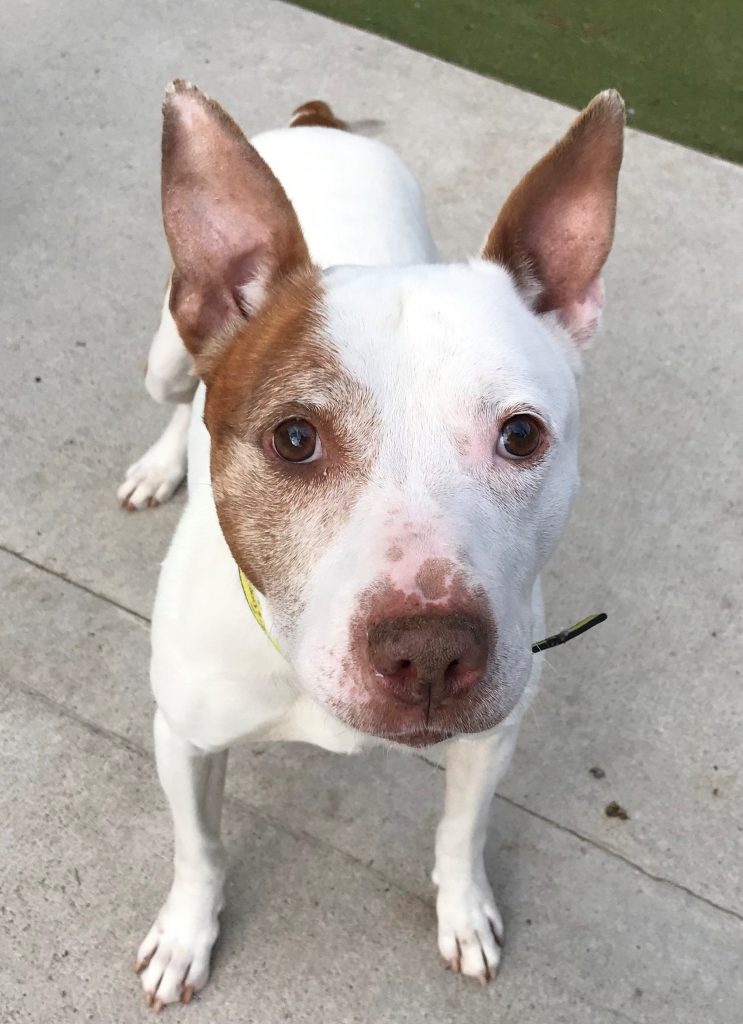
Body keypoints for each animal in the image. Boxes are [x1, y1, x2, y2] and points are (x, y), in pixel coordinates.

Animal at [122, 79, 622, 1007]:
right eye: (293, 439)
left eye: (521, 435)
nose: (429, 651)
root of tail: (319, 122)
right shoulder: (185, 739)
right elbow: (198, 848)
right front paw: (185, 934)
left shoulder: (490, 737)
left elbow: (462, 832)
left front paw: (463, 912)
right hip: (167, 353)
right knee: (180, 397)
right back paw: (164, 463)